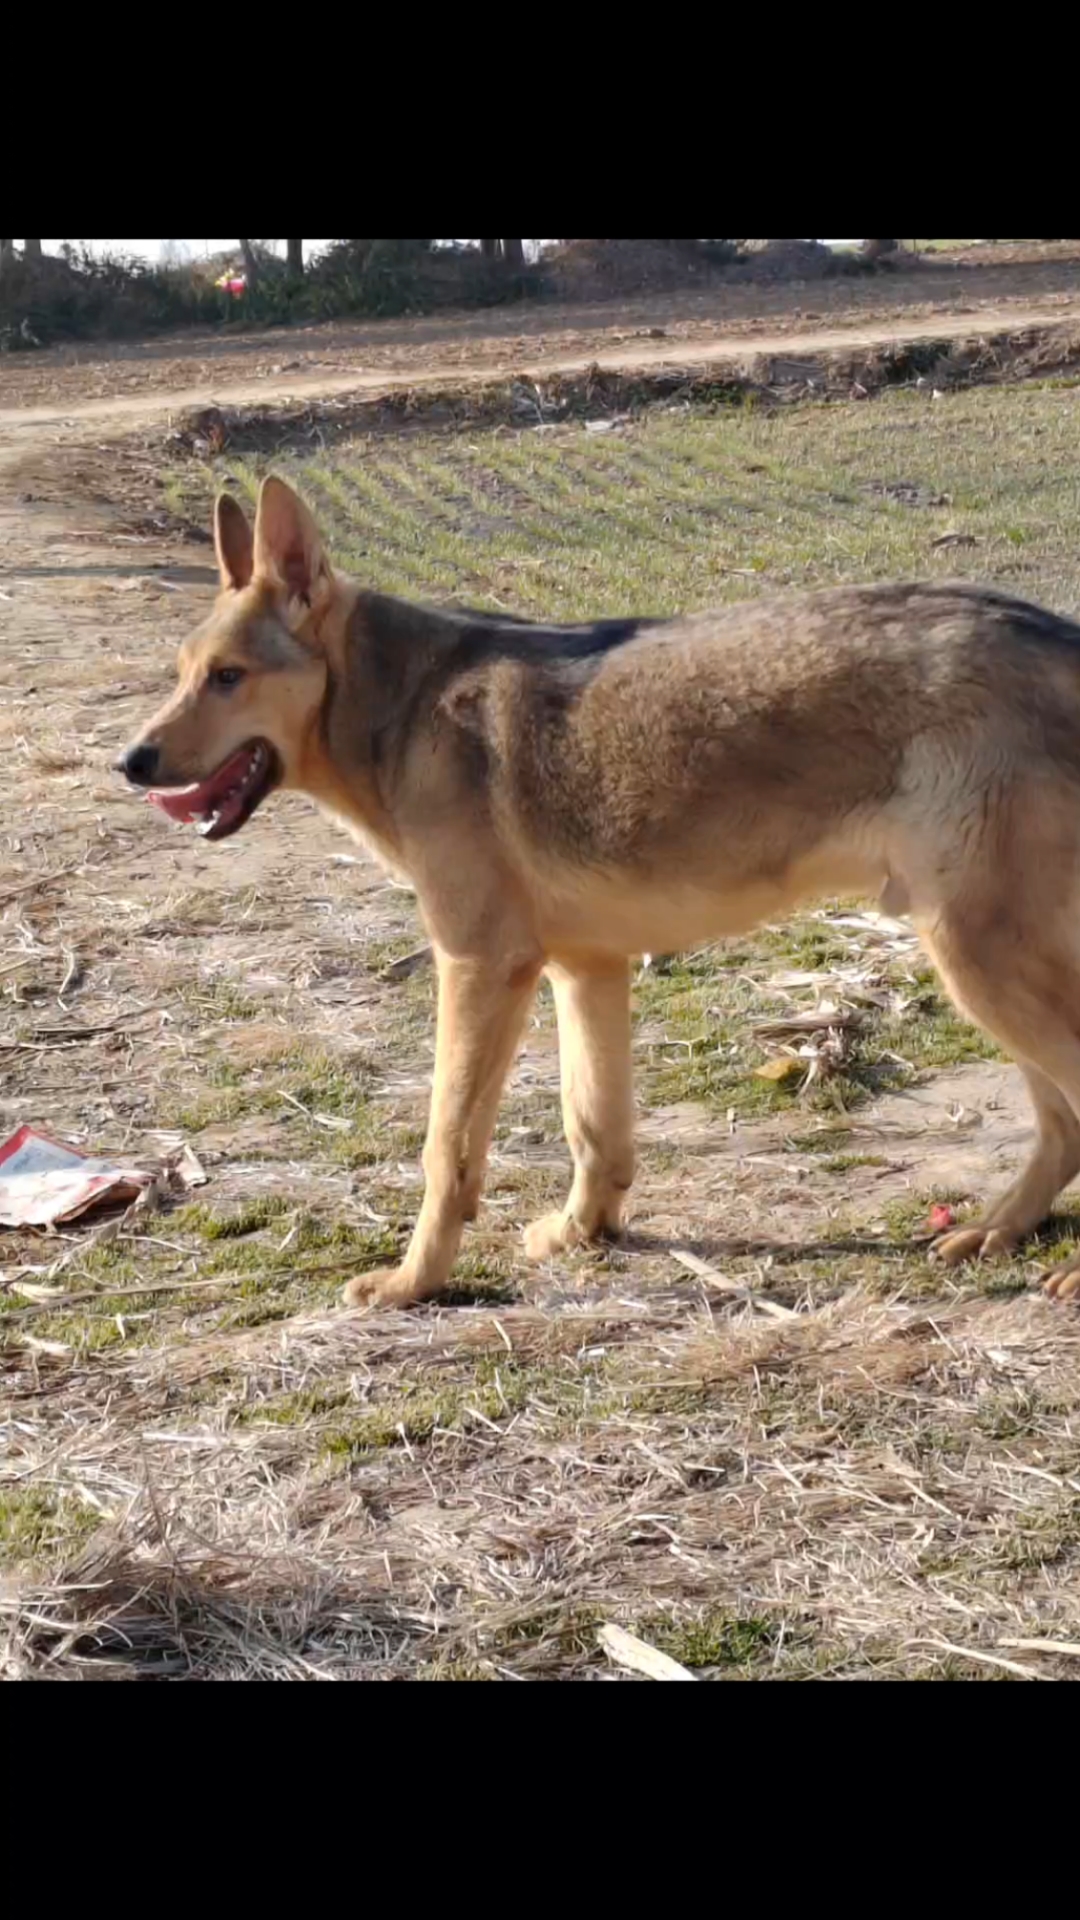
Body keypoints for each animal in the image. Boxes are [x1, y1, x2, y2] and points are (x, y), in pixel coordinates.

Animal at [117, 472, 1076, 1313]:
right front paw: (585, 1235)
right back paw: (1001, 1229)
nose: (130, 762)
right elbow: (594, 1131)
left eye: (229, 677)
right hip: (990, 975)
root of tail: (1055, 631)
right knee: (1061, 1127)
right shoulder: (586, 969)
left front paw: (413, 1284)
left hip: (979, 967)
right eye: (182, 672)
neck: (402, 706)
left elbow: (446, 1150)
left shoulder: (479, 968)